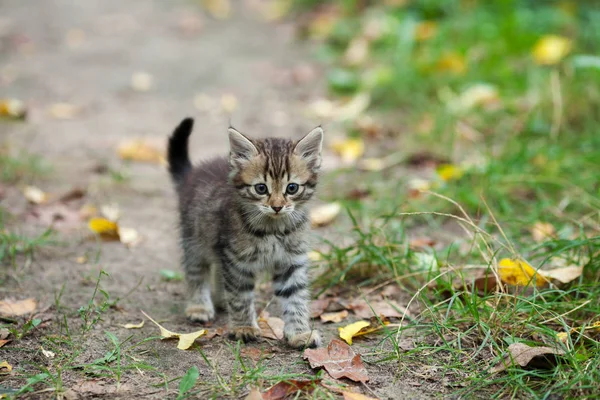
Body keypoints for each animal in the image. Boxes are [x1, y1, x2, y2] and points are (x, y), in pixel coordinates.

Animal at [164, 117, 324, 348]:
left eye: (292, 188)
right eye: (261, 188)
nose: (277, 207)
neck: (274, 229)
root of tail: (192, 174)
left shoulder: (291, 260)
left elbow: (295, 297)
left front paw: (300, 332)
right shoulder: (236, 259)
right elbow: (240, 295)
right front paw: (243, 327)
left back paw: (221, 300)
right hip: (195, 238)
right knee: (196, 271)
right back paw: (199, 306)